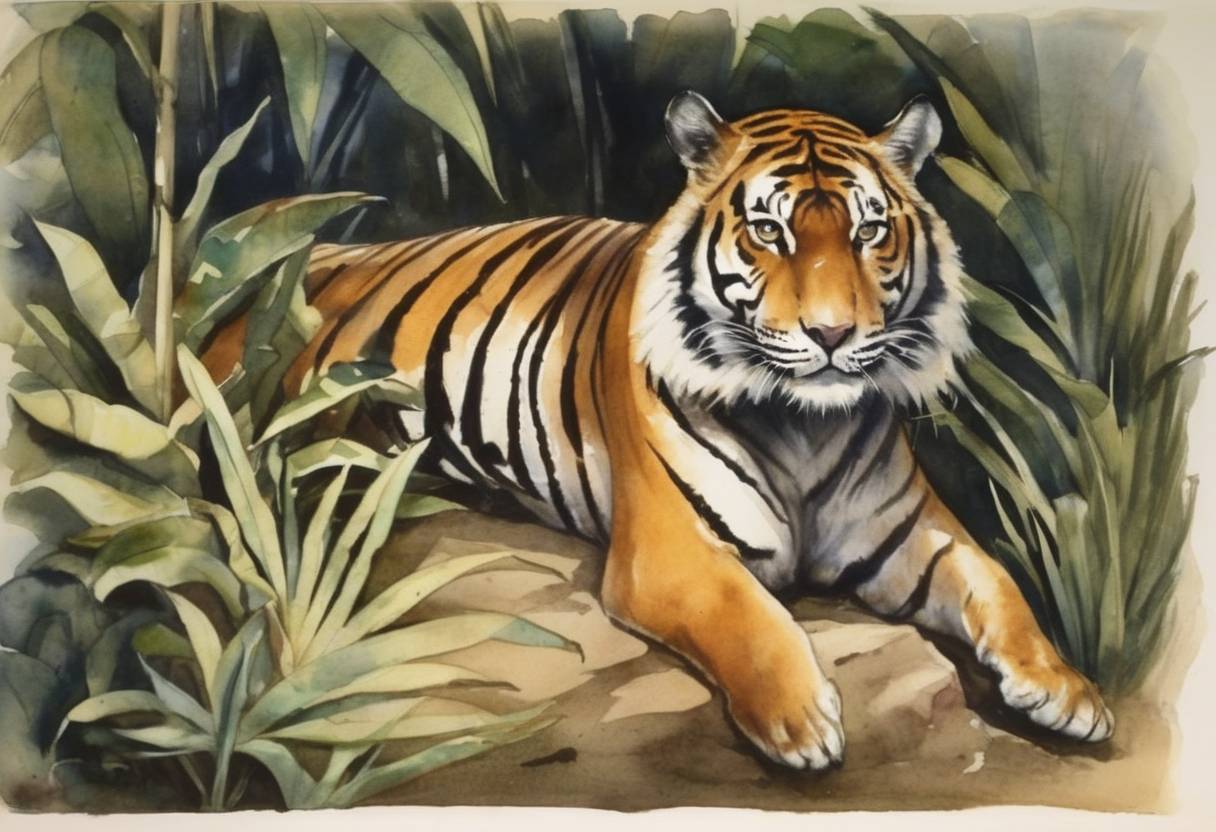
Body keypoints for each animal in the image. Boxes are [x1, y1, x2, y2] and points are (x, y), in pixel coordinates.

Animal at [205, 92, 1113, 769]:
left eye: (868, 231)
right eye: (771, 230)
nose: (832, 335)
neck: (804, 428)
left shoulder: (912, 536)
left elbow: (999, 581)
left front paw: (1068, 692)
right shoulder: (671, 553)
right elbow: (748, 614)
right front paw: (802, 721)